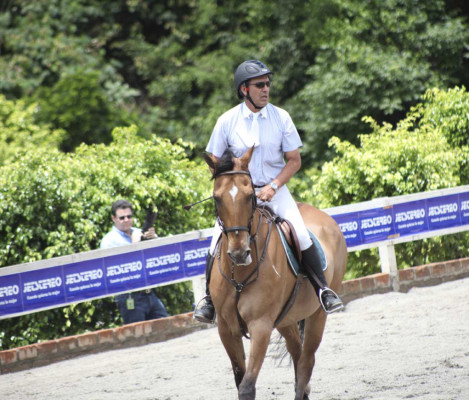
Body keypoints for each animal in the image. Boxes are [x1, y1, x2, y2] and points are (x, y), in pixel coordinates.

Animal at [202, 148, 348, 400]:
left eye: (249, 196)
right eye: (217, 197)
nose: (239, 253)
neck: (240, 274)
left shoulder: (260, 326)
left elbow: (247, 386)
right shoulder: (226, 328)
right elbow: (239, 379)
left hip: (317, 315)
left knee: (306, 362)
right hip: (286, 319)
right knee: (298, 355)